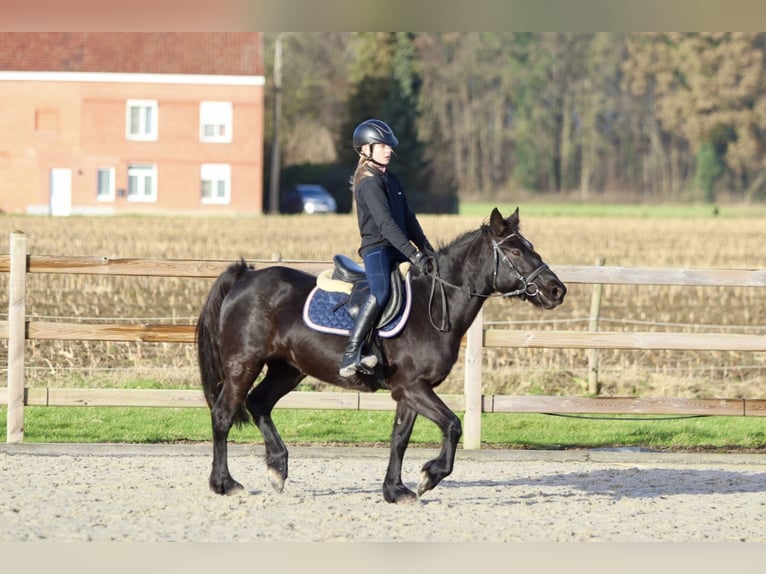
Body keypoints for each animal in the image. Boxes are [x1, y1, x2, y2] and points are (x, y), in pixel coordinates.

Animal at [196, 207, 568, 504]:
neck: (433, 305)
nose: (556, 290)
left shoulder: (410, 390)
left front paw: (395, 490)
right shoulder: (413, 387)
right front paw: (429, 476)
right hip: (243, 365)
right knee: (224, 414)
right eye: (516, 251)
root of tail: (245, 276)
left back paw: (277, 467)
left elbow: (400, 438)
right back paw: (224, 483)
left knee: (259, 403)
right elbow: (453, 425)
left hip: (287, 368)